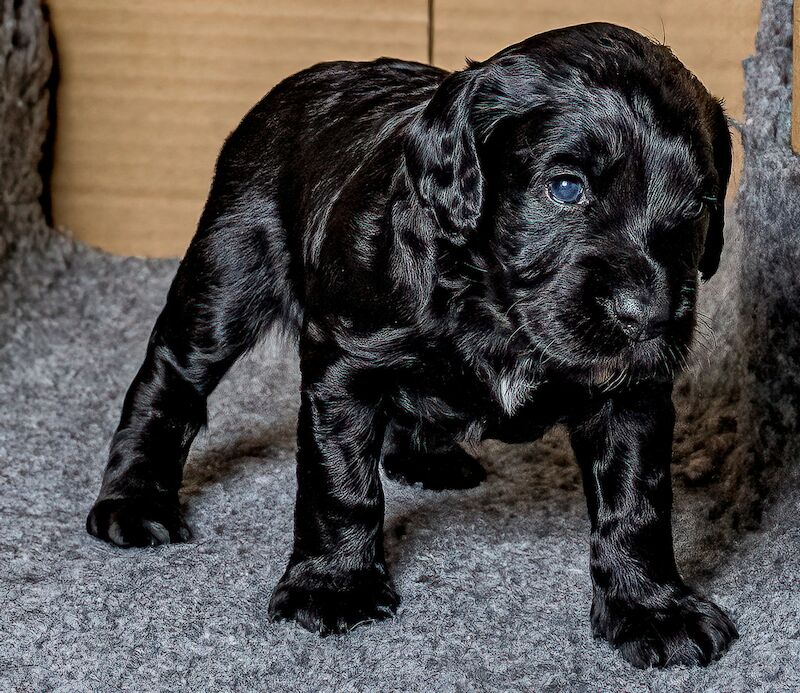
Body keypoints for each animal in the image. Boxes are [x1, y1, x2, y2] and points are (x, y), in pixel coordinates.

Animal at [86, 24, 736, 668]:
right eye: (566, 188)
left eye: (701, 205)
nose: (650, 316)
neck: (493, 305)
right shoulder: (346, 364)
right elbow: (340, 484)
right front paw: (333, 587)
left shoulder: (632, 391)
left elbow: (636, 501)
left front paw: (651, 609)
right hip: (228, 271)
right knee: (170, 378)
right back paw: (134, 503)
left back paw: (426, 456)